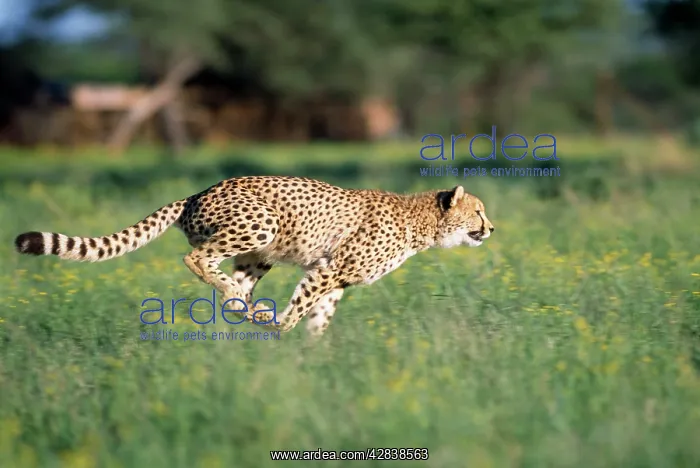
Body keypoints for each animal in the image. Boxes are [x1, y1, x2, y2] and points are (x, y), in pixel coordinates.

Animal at [14, 176, 495, 338]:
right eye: (478, 211)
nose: (491, 228)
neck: (422, 223)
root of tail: (198, 192)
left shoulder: (335, 279)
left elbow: (320, 316)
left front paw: (315, 357)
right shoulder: (329, 268)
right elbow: (300, 308)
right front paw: (283, 327)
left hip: (259, 254)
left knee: (232, 291)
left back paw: (244, 310)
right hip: (261, 223)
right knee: (198, 261)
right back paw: (249, 309)